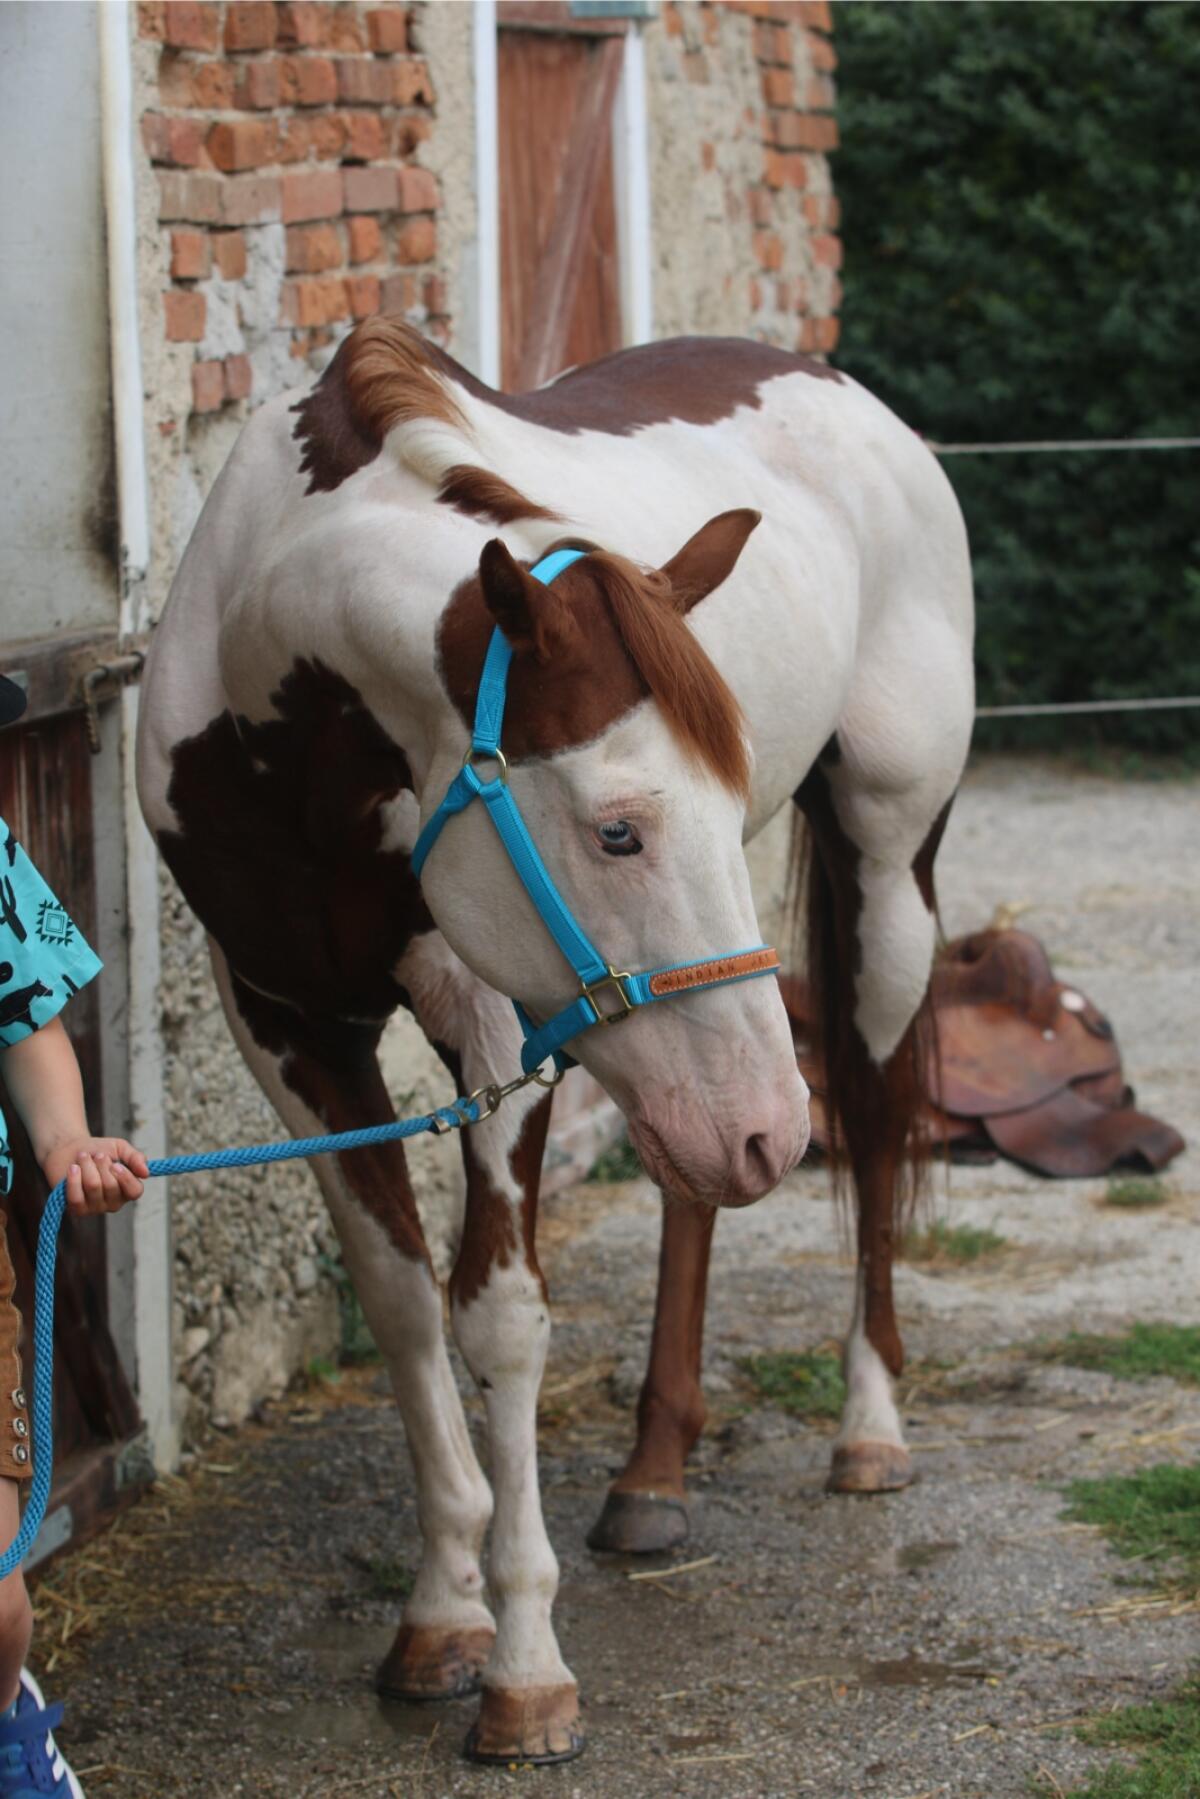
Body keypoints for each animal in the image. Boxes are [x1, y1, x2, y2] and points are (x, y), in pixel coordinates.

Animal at [136, 318, 974, 1765]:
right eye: (618, 829)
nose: (770, 1129)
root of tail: (843, 388)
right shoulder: (290, 1029)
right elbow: (404, 1298)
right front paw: (440, 1610)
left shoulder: (496, 1029)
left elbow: (501, 1316)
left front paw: (524, 1662)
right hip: (681, 1056)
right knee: (696, 1184)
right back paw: (653, 1472)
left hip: (882, 872)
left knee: (870, 1121)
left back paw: (869, 1425)